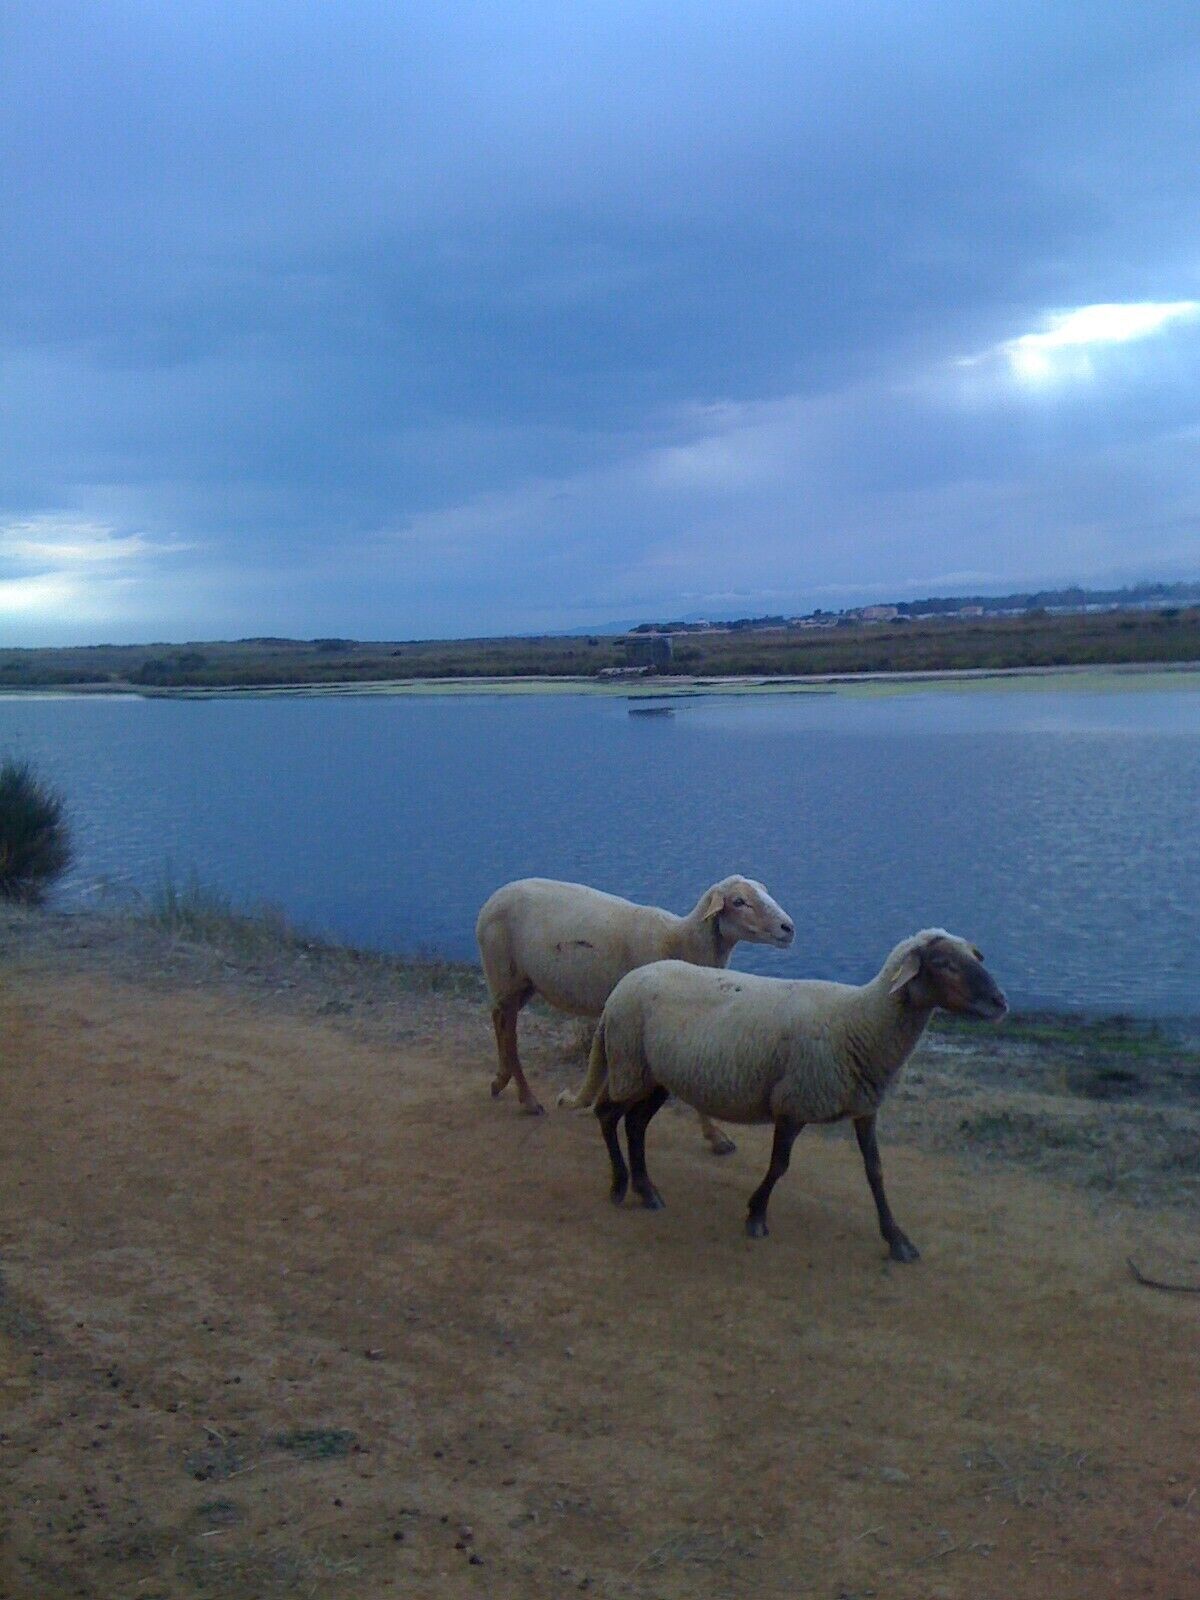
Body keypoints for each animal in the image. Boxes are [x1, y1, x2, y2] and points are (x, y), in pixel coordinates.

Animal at [475, 874, 795, 1150]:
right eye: (739, 901)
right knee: (509, 1033)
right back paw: (527, 1099)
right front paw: (716, 1137)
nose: (788, 928)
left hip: (522, 983)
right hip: (504, 973)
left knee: (498, 1019)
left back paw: (499, 1081)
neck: (680, 941)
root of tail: (492, 900)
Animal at [584, 929, 1007, 1259]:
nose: (1000, 1002)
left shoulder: (864, 1108)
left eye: (974, 956)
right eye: (944, 963)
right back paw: (620, 1185)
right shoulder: (794, 1101)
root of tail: (623, 986)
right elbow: (779, 1165)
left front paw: (896, 1239)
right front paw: (756, 1215)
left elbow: (875, 1171)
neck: (861, 1020)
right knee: (608, 1115)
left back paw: (647, 1191)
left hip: (655, 1076)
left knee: (635, 1125)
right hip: (629, 1062)